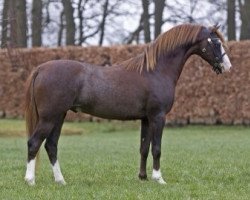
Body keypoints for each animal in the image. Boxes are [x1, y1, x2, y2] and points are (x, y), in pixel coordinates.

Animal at [24, 23, 231, 186]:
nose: (227, 66)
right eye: (216, 42)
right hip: (49, 117)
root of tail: (41, 68)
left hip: (59, 116)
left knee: (51, 145)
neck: (155, 71)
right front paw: (159, 179)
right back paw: (30, 180)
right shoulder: (158, 116)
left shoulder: (146, 119)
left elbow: (144, 148)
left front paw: (143, 177)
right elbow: (156, 148)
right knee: (34, 143)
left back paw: (60, 181)